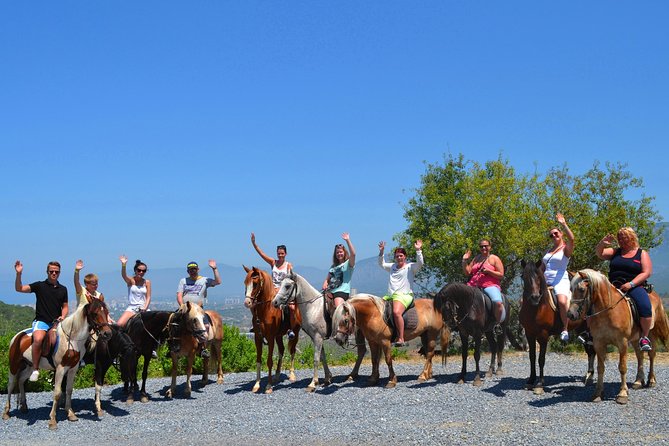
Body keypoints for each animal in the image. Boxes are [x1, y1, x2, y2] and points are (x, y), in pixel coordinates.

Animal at [2, 296, 111, 428]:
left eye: (106, 312)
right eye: (95, 313)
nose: (107, 333)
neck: (72, 338)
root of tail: (18, 336)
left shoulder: (73, 368)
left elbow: (69, 390)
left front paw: (71, 414)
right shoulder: (60, 368)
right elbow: (58, 392)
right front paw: (53, 420)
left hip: (29, 366)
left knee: (21, 381)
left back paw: (24, 407)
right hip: (14, 365)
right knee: (11, 384)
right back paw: (6, 412)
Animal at [243, 264, 300, 394]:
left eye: (255, 284)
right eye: (245, 283)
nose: (247, 302)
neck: (266, 309)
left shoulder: (270, 338)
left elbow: (269, 361)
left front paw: (268, 386)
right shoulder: (258, 337)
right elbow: (258, 360)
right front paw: (257, 384)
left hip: (295, 333)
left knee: (292, 351)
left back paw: (292, 375)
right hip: (278, 336)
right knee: (282, 350)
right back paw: (277, 375)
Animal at [516, 260, 596, 396]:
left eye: (538, 277)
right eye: (523, 276)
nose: (535, 297)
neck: (537, 308)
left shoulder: (543, 335)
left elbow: (541, 359)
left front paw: (539, 384)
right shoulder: (529, 334)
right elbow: (532, 357)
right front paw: (531, 380)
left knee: (593, 351)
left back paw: (590, 377)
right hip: (582, 328)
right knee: (589, 351)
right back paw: (588, 377)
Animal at [568, 268, 668, 404]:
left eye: (582, 289)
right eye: (570, 289)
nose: (570, 314)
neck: (608, 311)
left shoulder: (622, 343)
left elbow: (622, 367)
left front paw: (622, 394)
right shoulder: (599, 343)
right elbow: (600, 367)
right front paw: (598, 393)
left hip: (651, 334)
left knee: (651, 355)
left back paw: (651, 380)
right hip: (636, 338)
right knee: (640, 356)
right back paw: (638, 381)